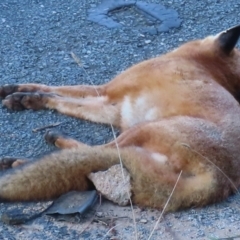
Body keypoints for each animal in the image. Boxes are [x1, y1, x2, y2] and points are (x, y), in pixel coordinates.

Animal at [0, 25, 240, 211]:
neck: (199, 61)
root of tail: (223, 180)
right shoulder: (114, 109)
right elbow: (62, 96)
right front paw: (17, 93)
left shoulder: (107, 92)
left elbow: (58, 93)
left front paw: (27, 98)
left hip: (141, 129)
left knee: (97, 153)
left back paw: (24, 159)